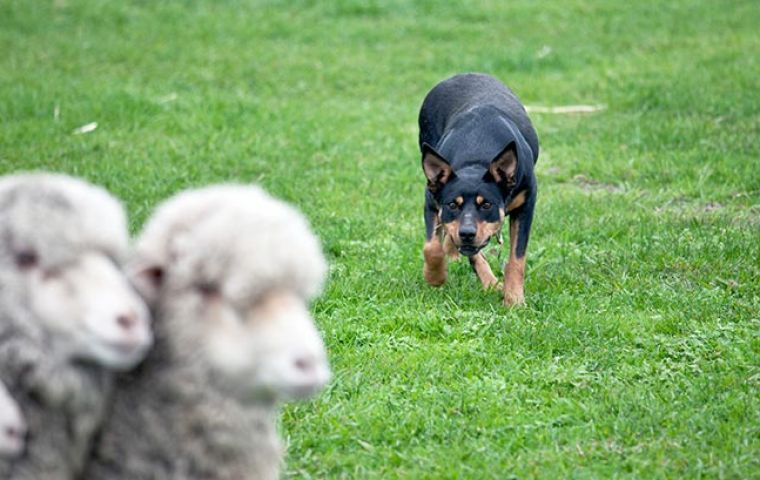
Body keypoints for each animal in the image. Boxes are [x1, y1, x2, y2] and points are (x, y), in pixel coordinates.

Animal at [418, 73, 536, 306]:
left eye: (487, 204)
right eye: (452, 204)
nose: (466, 233)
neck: (476, 157)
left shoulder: (526, 203)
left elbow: (516, 259)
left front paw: (514, 300)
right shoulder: (432, 201)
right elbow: (431, 247)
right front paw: (435, 276)